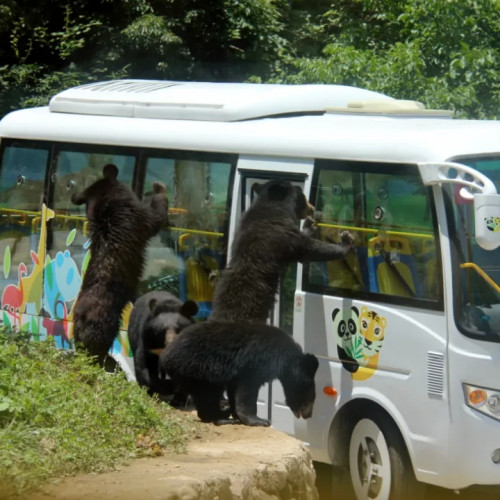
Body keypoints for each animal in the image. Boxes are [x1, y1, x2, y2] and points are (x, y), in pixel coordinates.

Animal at [71, 164, 168, 368]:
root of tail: (80, 317)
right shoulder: (139, 218)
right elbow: (156, 216)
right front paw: (159, 188)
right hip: (105, 320)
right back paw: (105, 361)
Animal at [160, 320, 320, 426]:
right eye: (311, 398)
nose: (309, 415)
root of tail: (165, 356)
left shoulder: (235, 373)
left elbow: (234, 390)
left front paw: (237, 414)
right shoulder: (255, 362)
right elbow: (248, 390)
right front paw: (260, 420)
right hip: (199, 369)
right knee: (208, 394)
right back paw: (220, 417)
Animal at [209, 178, 354, 322]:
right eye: (302, 195)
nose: (312, 208)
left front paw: (309, 225)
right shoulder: (280, 235)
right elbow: (310, 249)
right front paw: (346, 241)